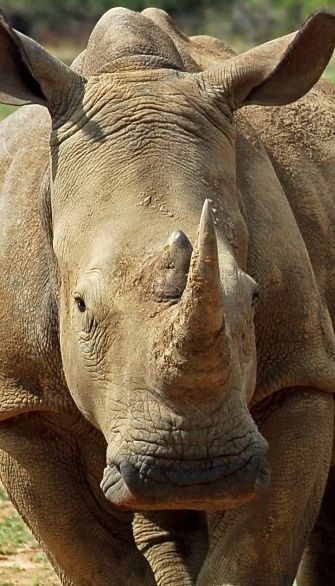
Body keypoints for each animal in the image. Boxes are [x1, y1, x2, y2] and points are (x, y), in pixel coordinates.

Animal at [0, 5, 334, 584]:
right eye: (80, 306)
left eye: (254, 298)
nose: (195, 468)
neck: (134, 75)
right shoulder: (21, 402)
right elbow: (94, 559)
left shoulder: (303, 376)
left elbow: (251, 555)